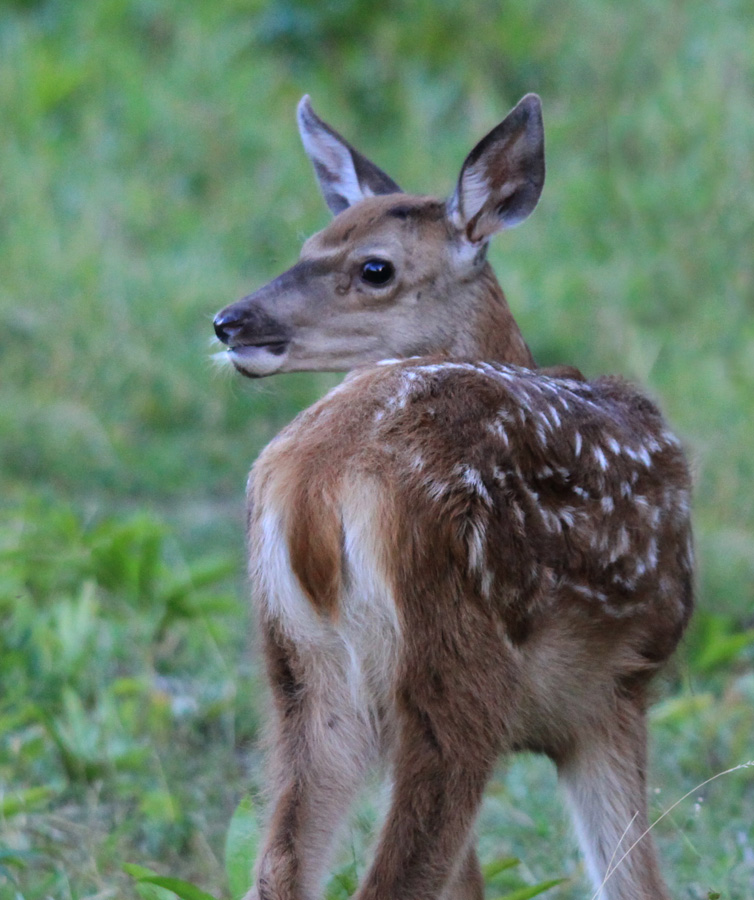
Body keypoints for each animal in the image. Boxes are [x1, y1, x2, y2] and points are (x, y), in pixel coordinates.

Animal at [212, 93, 692, 900]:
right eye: (310, 244)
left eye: (374, 266)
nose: (231, 322)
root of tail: (314, 487)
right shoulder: (619, 689)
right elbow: (635, 884)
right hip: (458, 661)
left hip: (300, 673)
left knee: (279, 867)